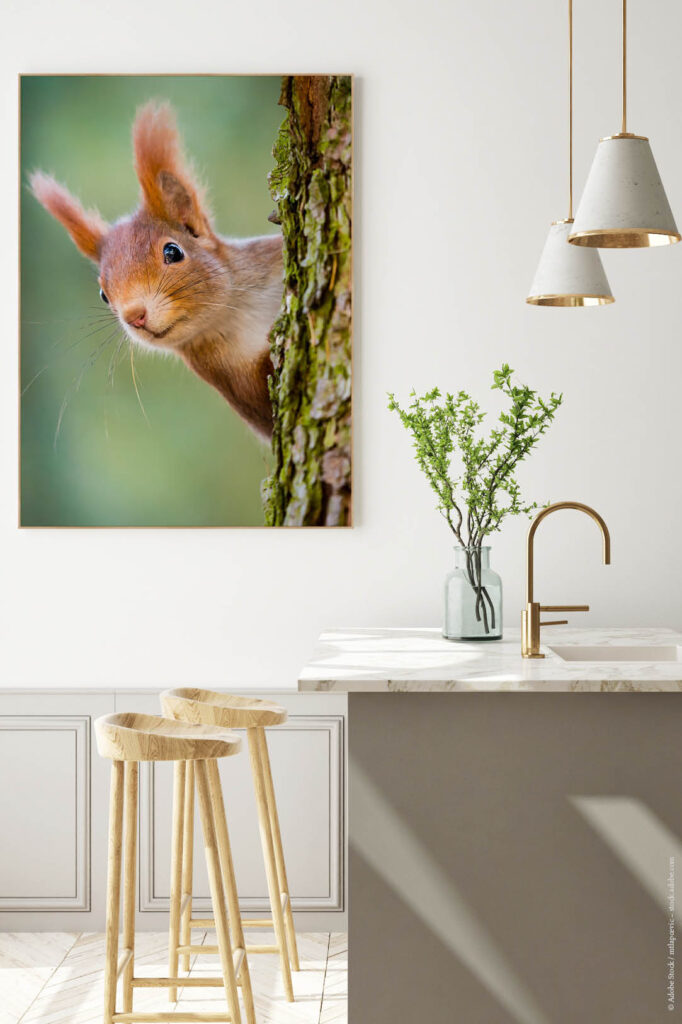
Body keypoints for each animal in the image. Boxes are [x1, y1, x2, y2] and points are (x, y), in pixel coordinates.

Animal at [30, 102, 283, 440]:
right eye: (103, 295)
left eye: (172, 252)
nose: (134, 316)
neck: (237, 313)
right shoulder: (236, 385)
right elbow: (266, 408)